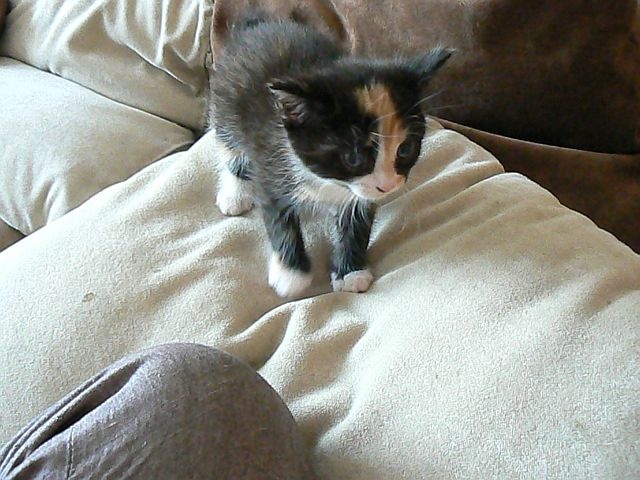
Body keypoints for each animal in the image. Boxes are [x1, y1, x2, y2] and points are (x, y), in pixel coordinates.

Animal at [207, 13, 452, 298]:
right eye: (353, 158)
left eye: (405, 150)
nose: (388, 186)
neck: (327, 181)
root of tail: (258, 25)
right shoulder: (268, 161)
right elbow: (279, 218)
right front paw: (290, 274)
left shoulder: (360, 193)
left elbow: (357, 219)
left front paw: (351, 272)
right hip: (226, 106)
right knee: (230, 150)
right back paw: (234, 194)